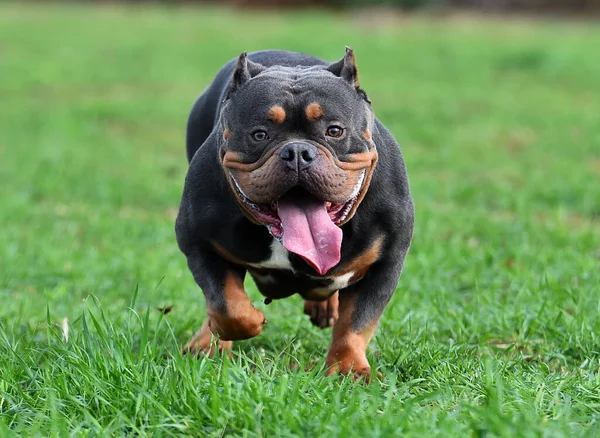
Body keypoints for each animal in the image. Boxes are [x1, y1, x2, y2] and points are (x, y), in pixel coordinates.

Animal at [176, 46, 414, 378]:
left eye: (334, 131)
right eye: (259, 134)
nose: (298, 152)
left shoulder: (385, 261)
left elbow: (357, 322)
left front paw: (348, 368)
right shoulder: (199, 242)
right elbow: (226, 304)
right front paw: (246, 324)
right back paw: (204, 345)